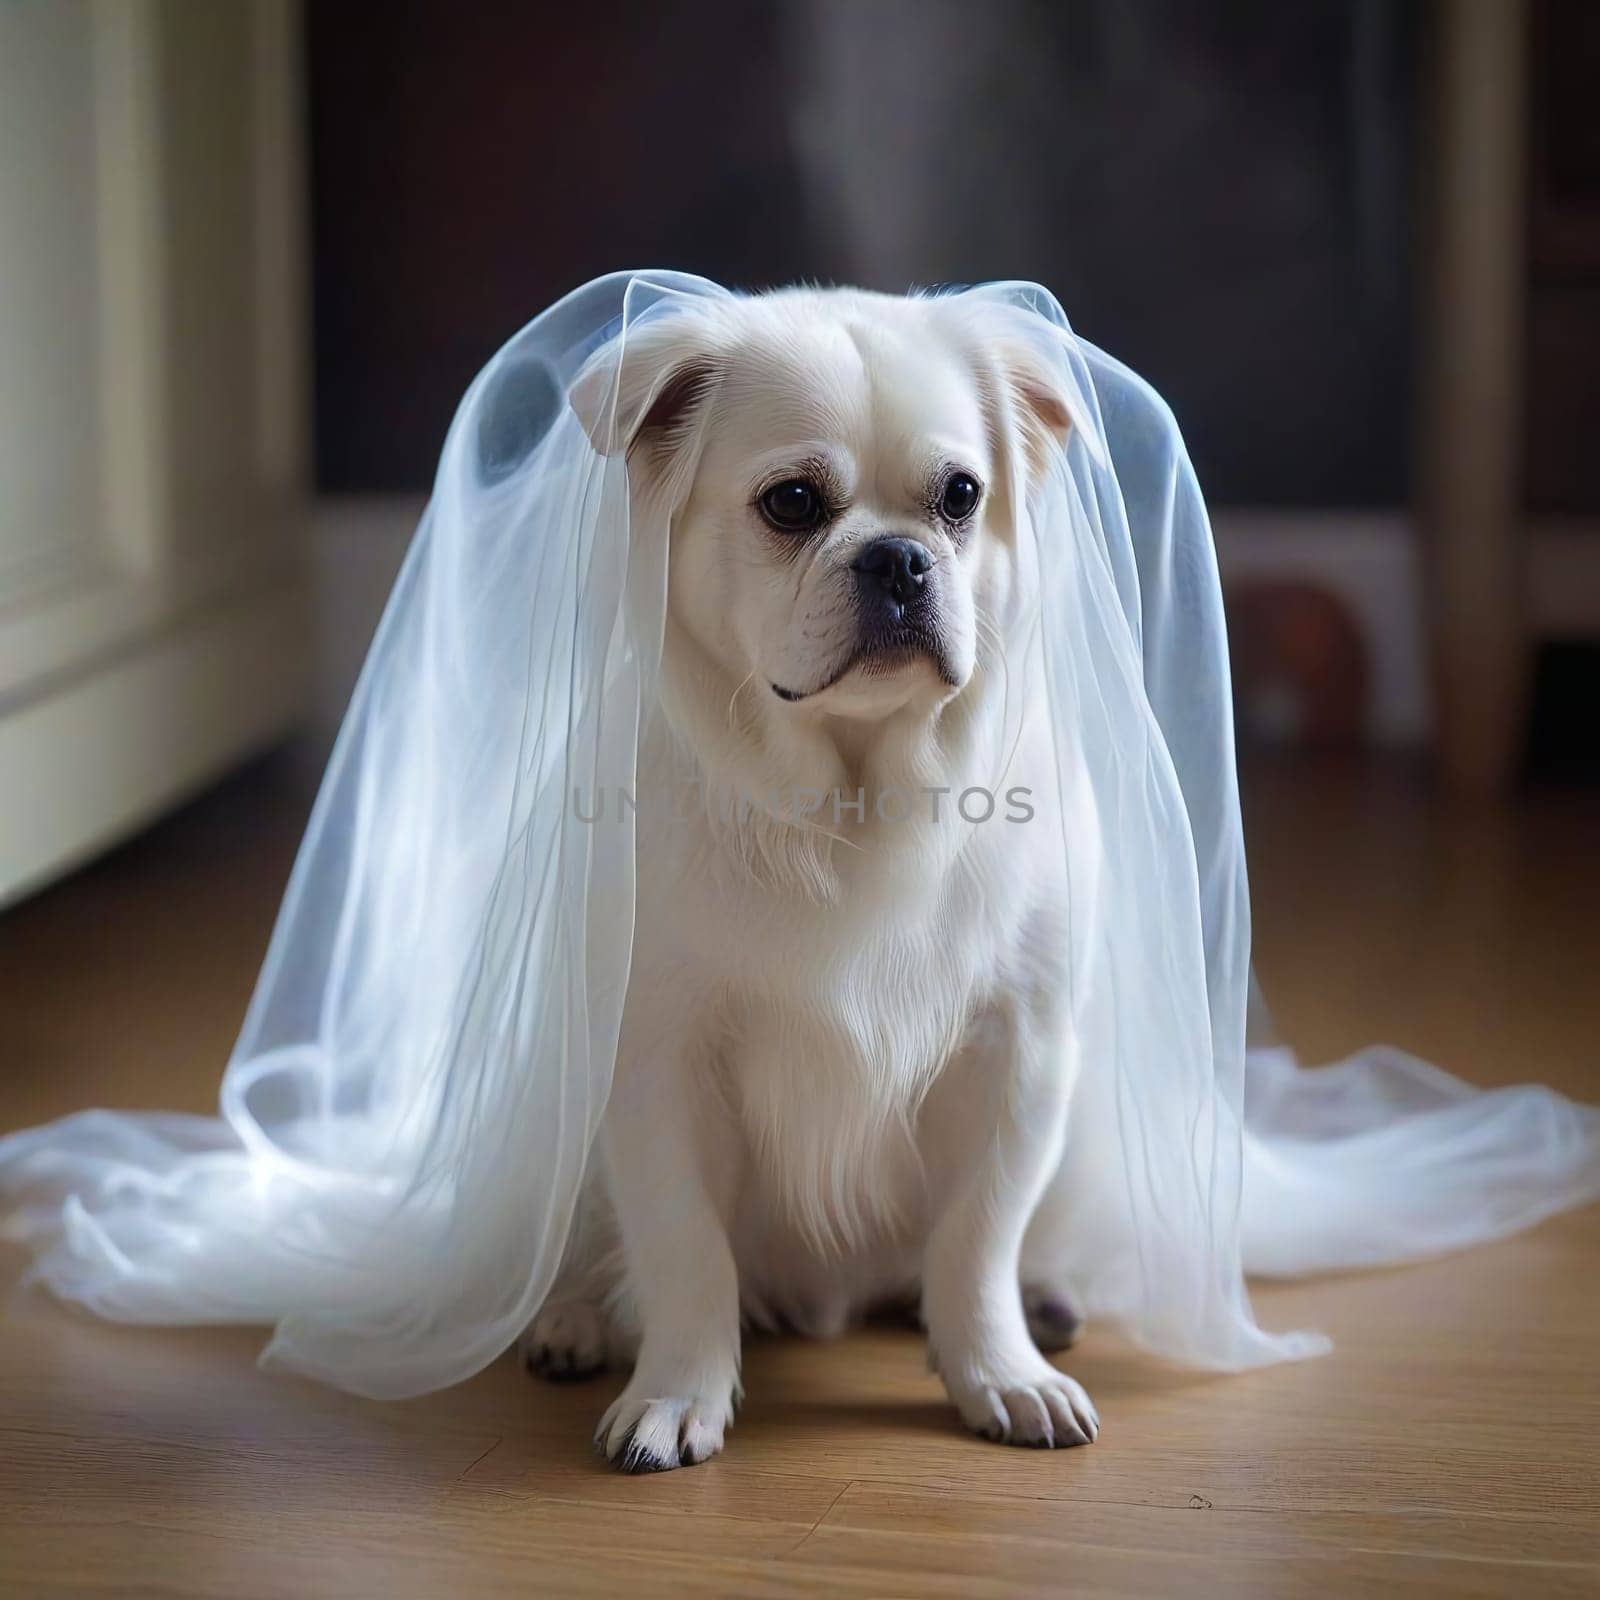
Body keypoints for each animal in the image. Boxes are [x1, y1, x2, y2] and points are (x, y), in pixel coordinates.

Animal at [524, 291, 1100, 1472]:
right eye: (791, 503)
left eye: (960, 496)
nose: (897, 558)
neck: (852, 798)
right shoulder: (657, 1064)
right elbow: (684, 1247)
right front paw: (677, 1392)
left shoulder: (1019, 1051)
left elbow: (977, 1236)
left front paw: (1000, 1371)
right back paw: (573, 1319)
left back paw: (1047, 1299)